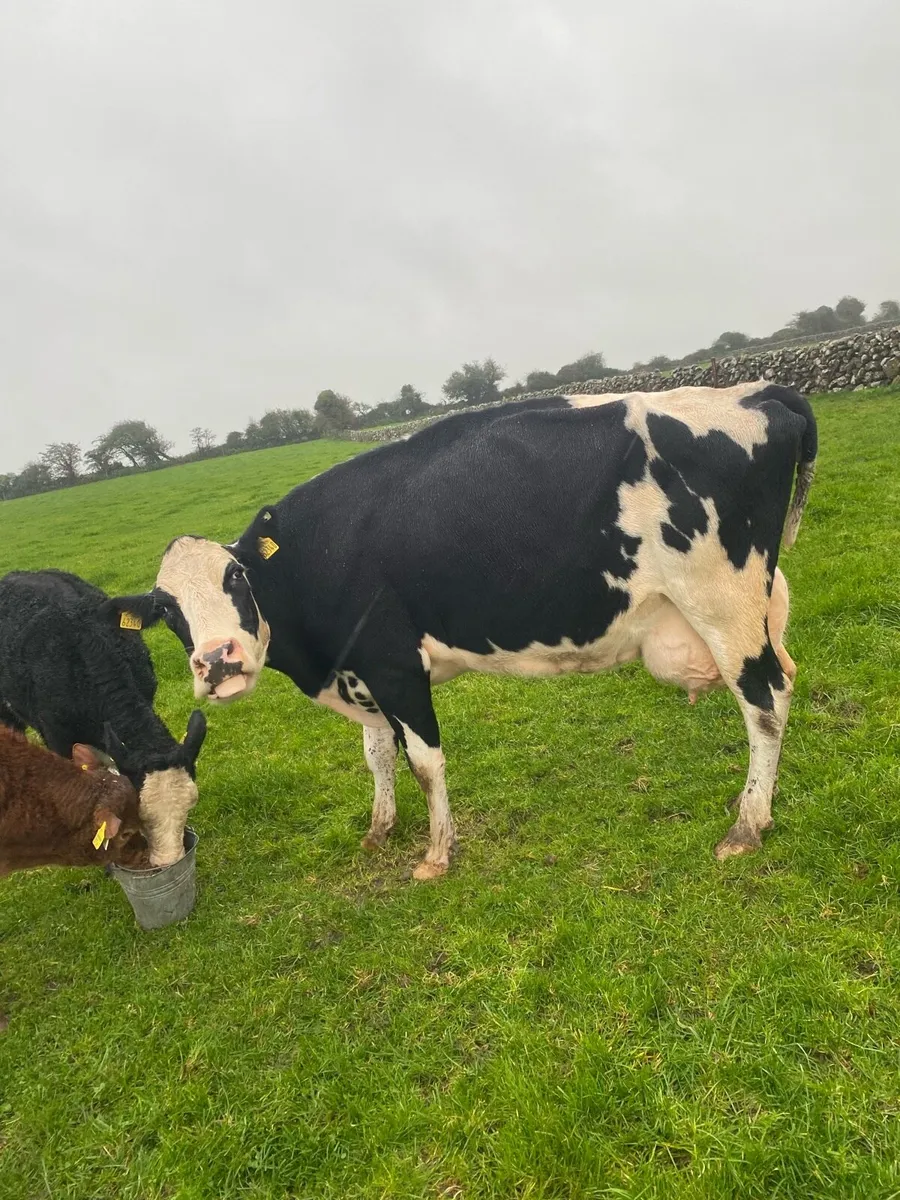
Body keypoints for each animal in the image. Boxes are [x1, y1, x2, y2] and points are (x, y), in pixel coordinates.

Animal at [105, 383, 816, 878]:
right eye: (167, 610)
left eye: (235, 578)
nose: (218, 661)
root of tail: (757, 391)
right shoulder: (361, 671)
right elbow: (377, 755)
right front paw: (379, 829)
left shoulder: (393, 662)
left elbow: (424, 761)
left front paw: (436, 854)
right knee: (783, 678)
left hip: (721, 603)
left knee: (766, 701)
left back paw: (747, 825)